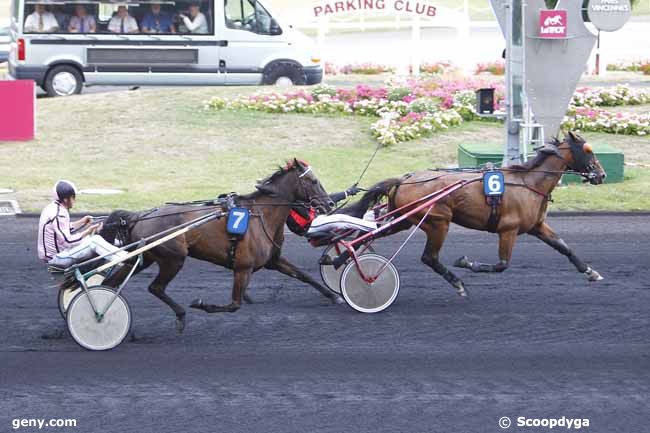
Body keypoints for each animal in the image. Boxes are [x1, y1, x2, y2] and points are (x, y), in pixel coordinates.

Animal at [99, 160, 342, 332]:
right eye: (313, 181)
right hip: (173, 259)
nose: (330, 203)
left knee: (112, 283)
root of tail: (140, 216)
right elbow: (234, 305)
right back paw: (180, 315)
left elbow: (304, 275)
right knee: (155, 287)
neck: (262, 214)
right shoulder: (242, 268)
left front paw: (334, 296)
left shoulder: (273, 261)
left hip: (143, 258)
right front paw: (201, 304)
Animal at [342, 132, 604, 298]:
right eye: (588, 150)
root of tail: (404, 179)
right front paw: (467, 262)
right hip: (438, 222)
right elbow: (501, 265)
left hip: (405, 220)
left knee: (370, 236)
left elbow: (564, 247)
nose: (601, 175)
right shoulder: (508, 230)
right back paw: (458, 284)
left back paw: (338, 261)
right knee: (429, 257)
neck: (528, 183)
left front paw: (591, 272)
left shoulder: (536, 226)